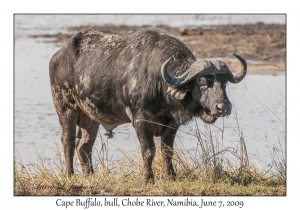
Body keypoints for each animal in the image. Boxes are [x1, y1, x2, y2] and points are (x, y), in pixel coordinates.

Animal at [48, 27, 246, 181]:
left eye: (224, 83)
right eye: (203, 83)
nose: (223, 107)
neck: (160, 83)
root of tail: (58, 56)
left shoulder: (172, 124)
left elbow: (167, 151)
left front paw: (171, 176)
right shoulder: (141, 121)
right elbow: (149, 150)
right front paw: (148, 178)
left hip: (91, 118)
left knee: (84, 146)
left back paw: (90, 175)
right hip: (65, 107)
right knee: (68, 140)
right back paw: (69, 174)